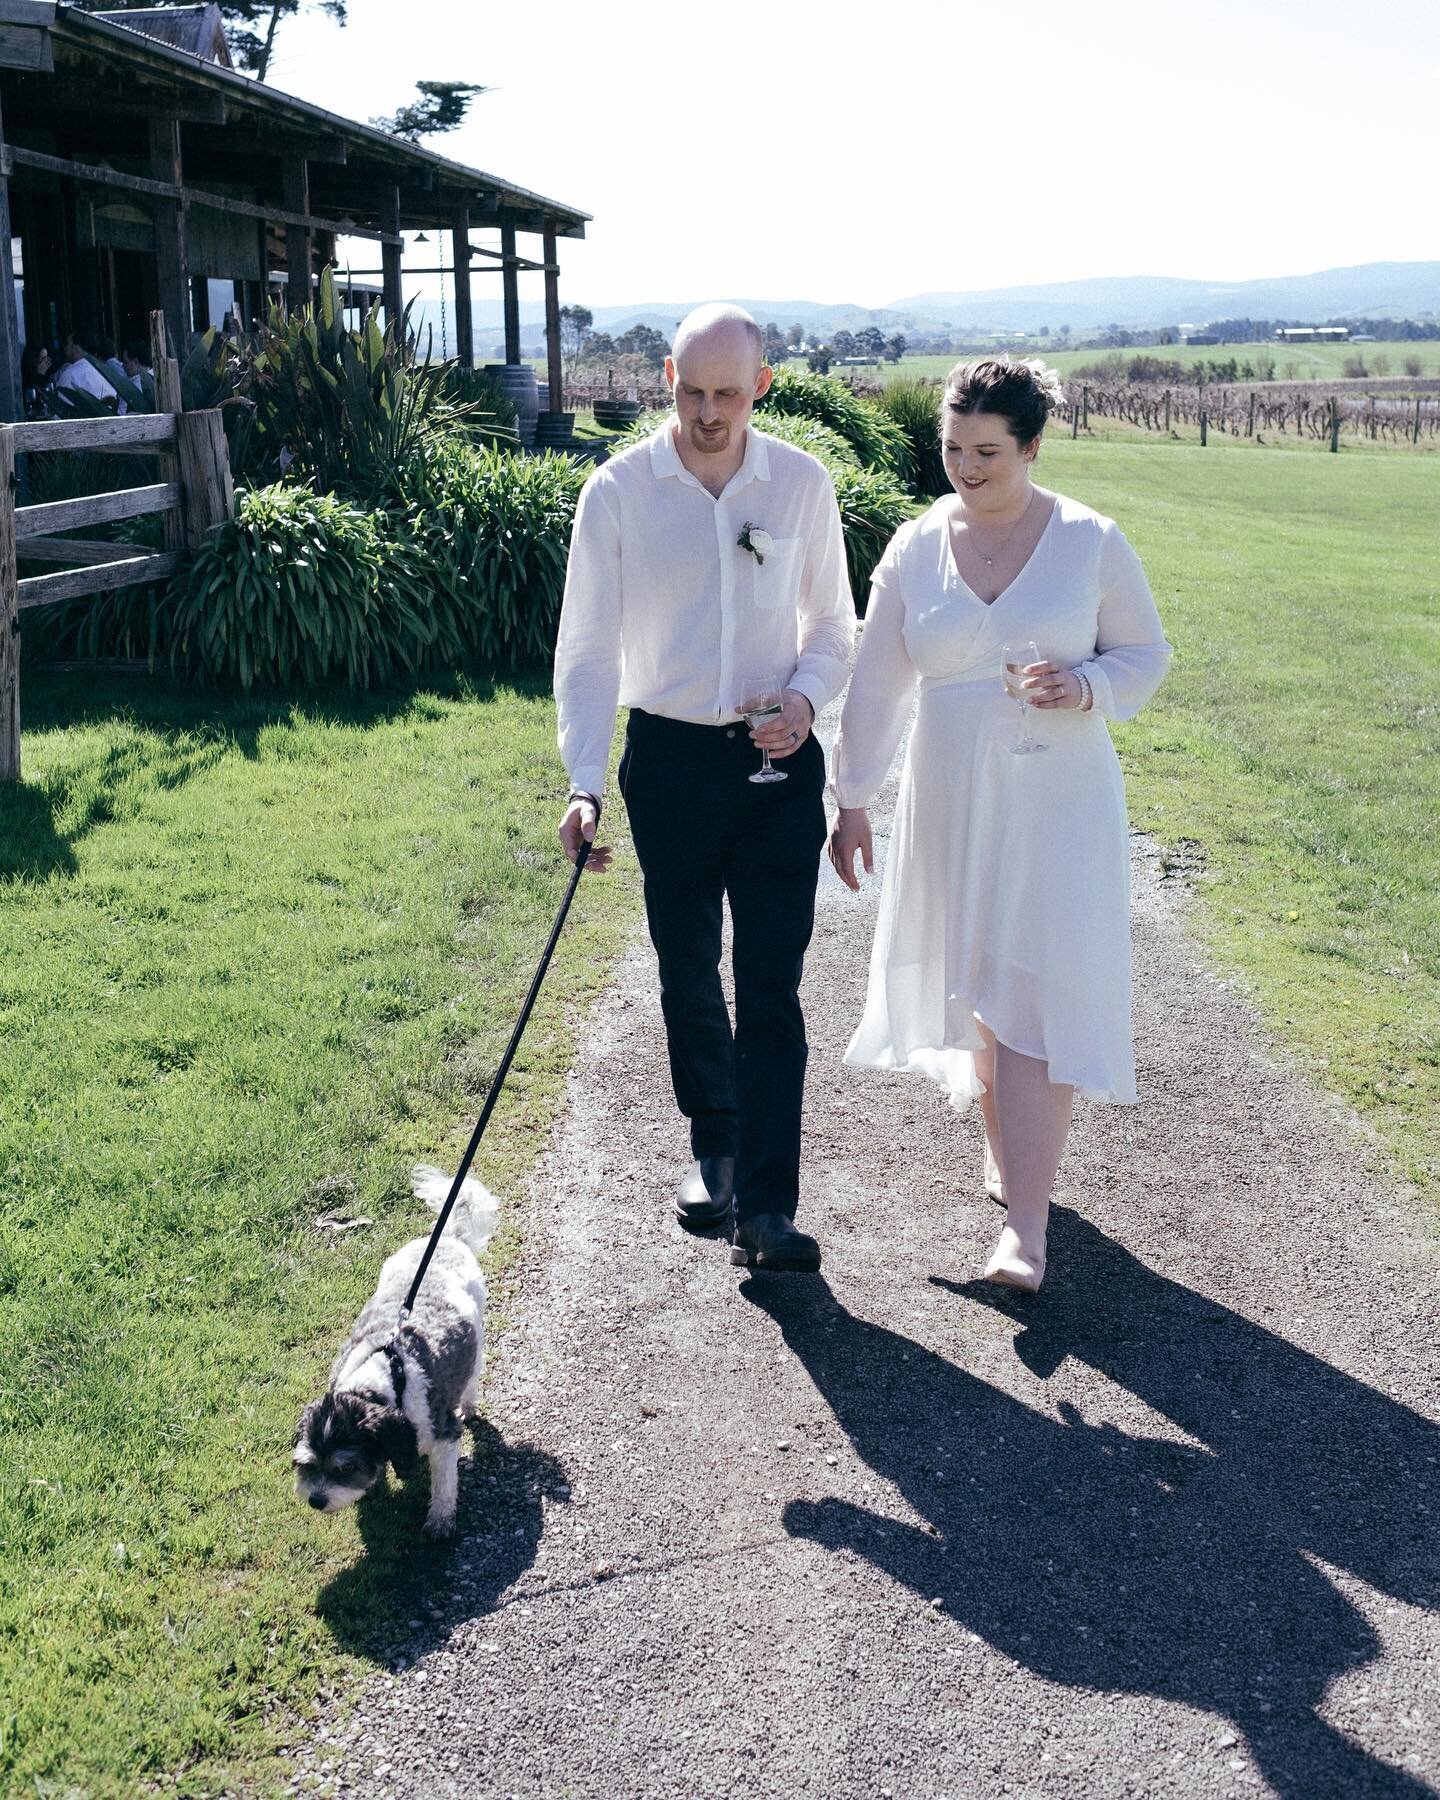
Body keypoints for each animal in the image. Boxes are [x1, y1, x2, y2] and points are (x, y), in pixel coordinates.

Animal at [289, 1173, 496, 1540]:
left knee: (472, 1374)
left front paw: (440, 1521)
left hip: (478, 1331)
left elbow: (444, 1485)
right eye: (308, 1464)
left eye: (346, 1467)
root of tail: (447, 1239)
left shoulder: (442, 1434)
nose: (315, 1499)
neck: (384, 1374)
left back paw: (469, 1403)